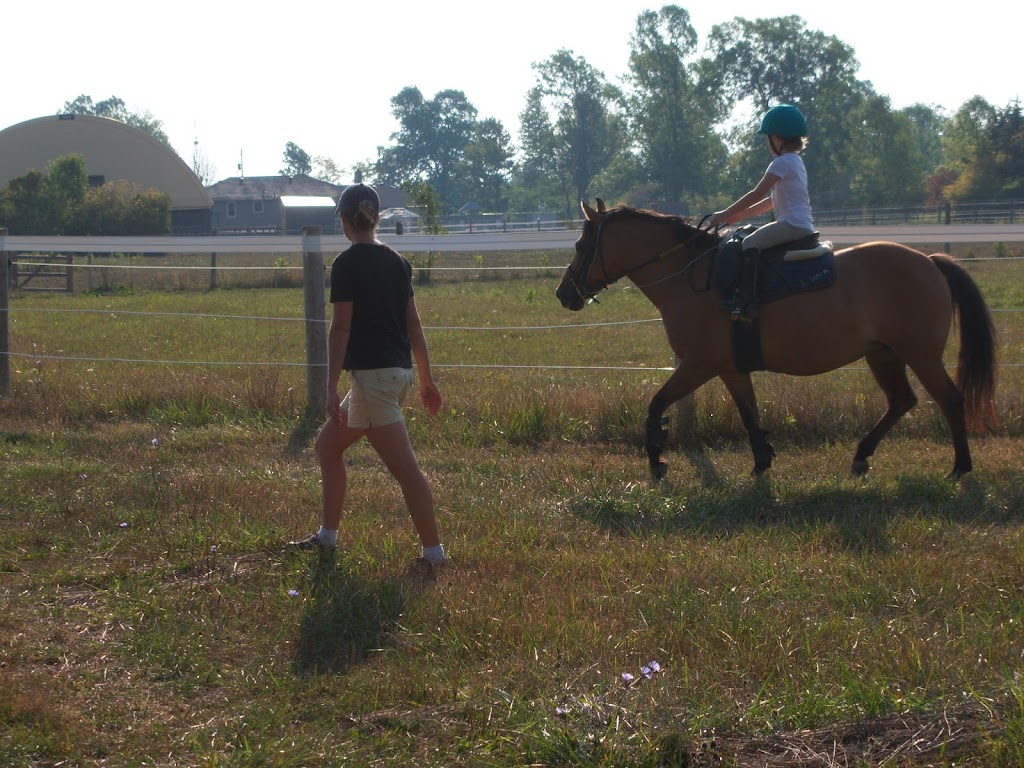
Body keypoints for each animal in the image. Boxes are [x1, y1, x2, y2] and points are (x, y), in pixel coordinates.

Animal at [557, 201, 995, 483]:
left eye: (580, 245)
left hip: (920, 355)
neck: (691, 277)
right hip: (883, 355)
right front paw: (762, 461)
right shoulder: (730, 369)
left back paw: (960, 466)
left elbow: (656, 404)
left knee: (949, 399)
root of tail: (930, 260)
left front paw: (655, 460)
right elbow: (749, 415)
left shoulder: (697, 365)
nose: (564, 294)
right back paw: (861, 457)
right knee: (902, 401)